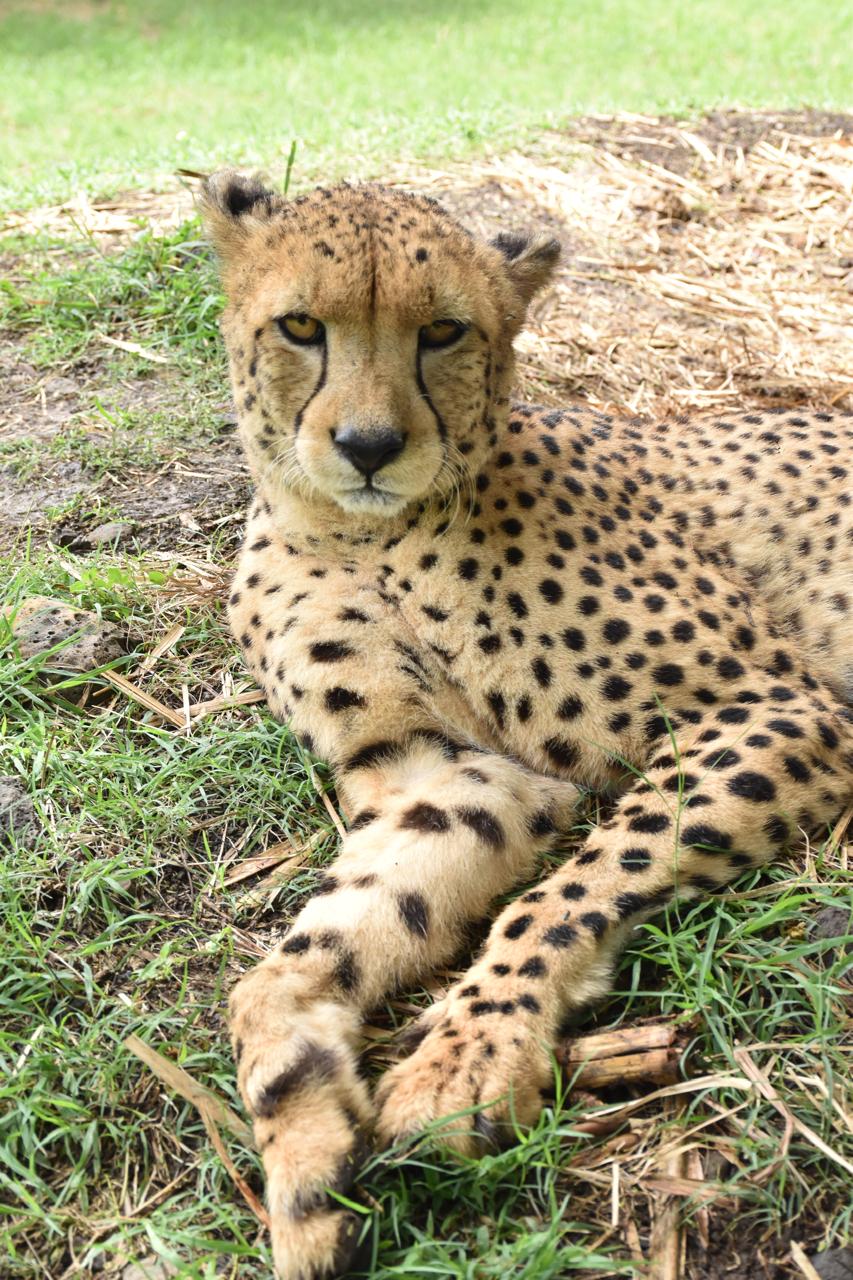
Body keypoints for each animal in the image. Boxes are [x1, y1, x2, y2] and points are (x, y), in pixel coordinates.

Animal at [199, 170, 853, 1280]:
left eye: (442, 332)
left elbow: (568, 888)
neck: (365, 532)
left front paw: (465, 1054)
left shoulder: (774, 702)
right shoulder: (442, 773)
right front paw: (303, 1144)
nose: (368, 446)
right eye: (300, 326)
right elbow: (292, 962)